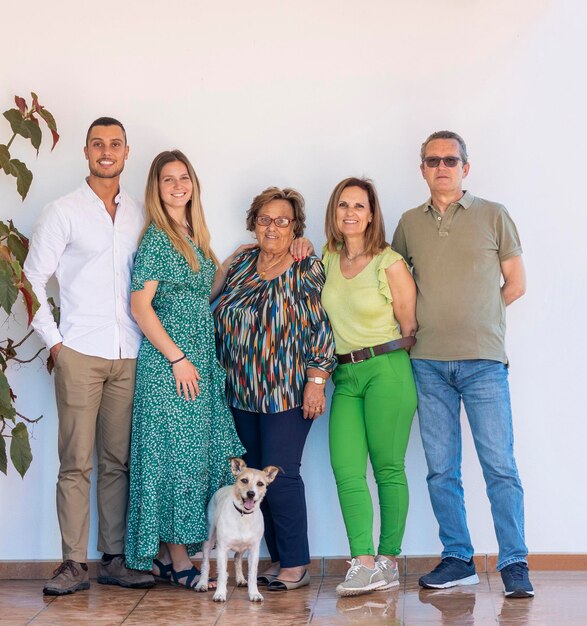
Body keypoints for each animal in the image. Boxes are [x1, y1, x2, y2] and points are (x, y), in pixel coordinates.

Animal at [196, 456, 280, 596]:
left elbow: (252, 574)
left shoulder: (254, 550)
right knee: (205, 563)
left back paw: (240, 579)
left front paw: (254, 594)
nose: (251, 493)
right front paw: (220, 594)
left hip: (242, 547)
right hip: (209, 539)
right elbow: (222, 574)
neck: (243, 515)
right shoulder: (222, 549)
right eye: (244, 480)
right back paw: (202, 583)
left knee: (237, 558)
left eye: (260, 484)